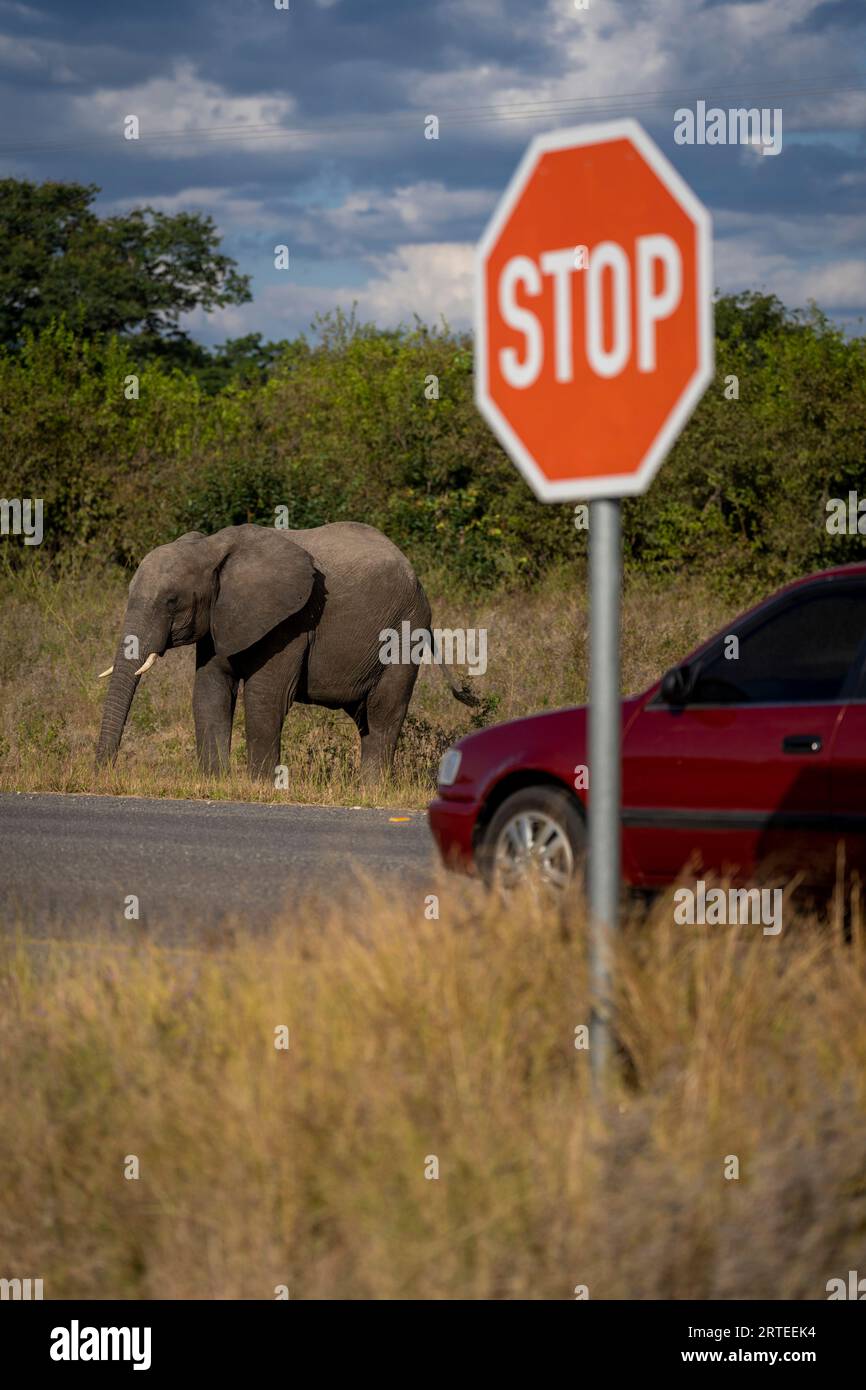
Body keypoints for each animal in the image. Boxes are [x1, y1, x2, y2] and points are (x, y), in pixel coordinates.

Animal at [97, 522, 478, 783]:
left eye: (172, 601)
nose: (103, 770)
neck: (212, 547)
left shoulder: (291, 620)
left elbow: (266, 697)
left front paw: (259, 787)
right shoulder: (220, 617)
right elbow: (209, 692)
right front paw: (214, 782)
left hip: (403, 630)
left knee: (384, 712)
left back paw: (372, 790)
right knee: (365, 718)